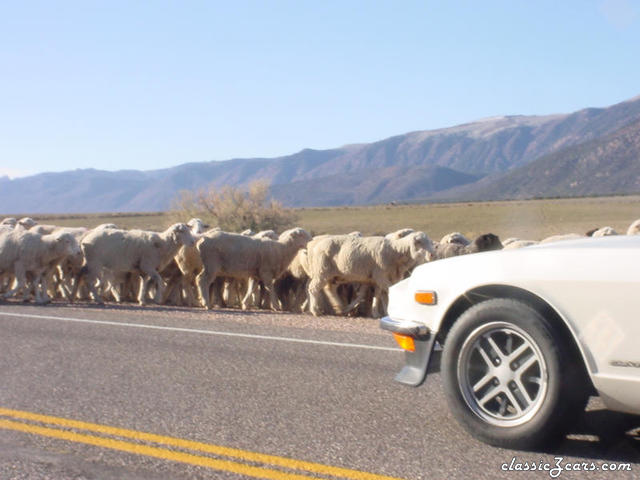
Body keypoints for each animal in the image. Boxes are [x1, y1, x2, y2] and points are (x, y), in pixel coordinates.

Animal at [306, 231, 436, 316]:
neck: (395, 252)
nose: (432, 255)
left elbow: (379, 295)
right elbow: (386, 292)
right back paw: (316, 311)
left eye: (430, 242)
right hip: (322, 270)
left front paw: (379, 312)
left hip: (335, 275)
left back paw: (340, 307)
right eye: (419, 242)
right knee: (313, 288)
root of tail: (315, 245)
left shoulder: (380, 278)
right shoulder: (381, 276)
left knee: (329, 289)